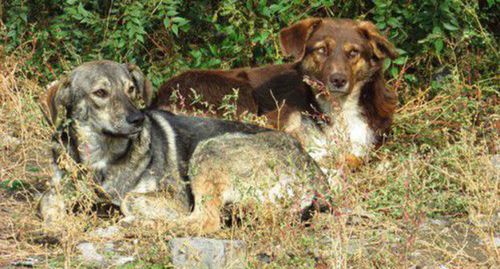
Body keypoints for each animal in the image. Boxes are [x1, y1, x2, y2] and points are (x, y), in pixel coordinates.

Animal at [40, 59, 332, 233]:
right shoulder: (56, 189)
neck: (104, 156)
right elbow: (47, 202)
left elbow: (130, 199)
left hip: (209, 150)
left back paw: (137, 224)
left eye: (131, 89)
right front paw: (57, 224)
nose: (138, 119)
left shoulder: (176, 198)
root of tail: (316, 177)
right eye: (100, 93)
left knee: (205, 220)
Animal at [152, 17, 398, 166]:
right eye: (321, 50)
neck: (338, 110)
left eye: (353, 53)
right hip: (240, 94)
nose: (338, 80)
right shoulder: (275, 120)